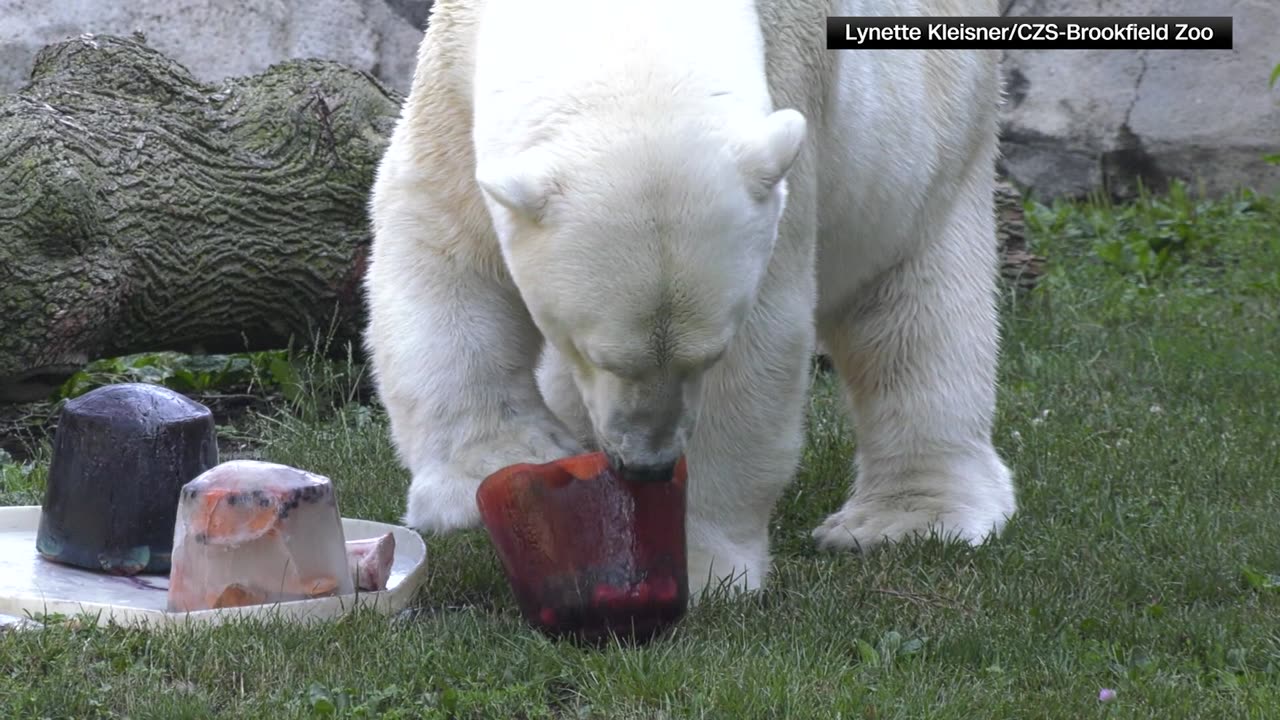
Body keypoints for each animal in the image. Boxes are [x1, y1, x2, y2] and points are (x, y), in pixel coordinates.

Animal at [363, 0, 1018, 594]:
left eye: (707, 356)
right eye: (595, 353)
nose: (647, 463)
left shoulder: (788, 132)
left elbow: (759, 353)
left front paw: (695, 563)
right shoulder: (454, 73)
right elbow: (441, 241)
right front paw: (492, 469)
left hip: (939, 135)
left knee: (915, 313)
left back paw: (907, 518)